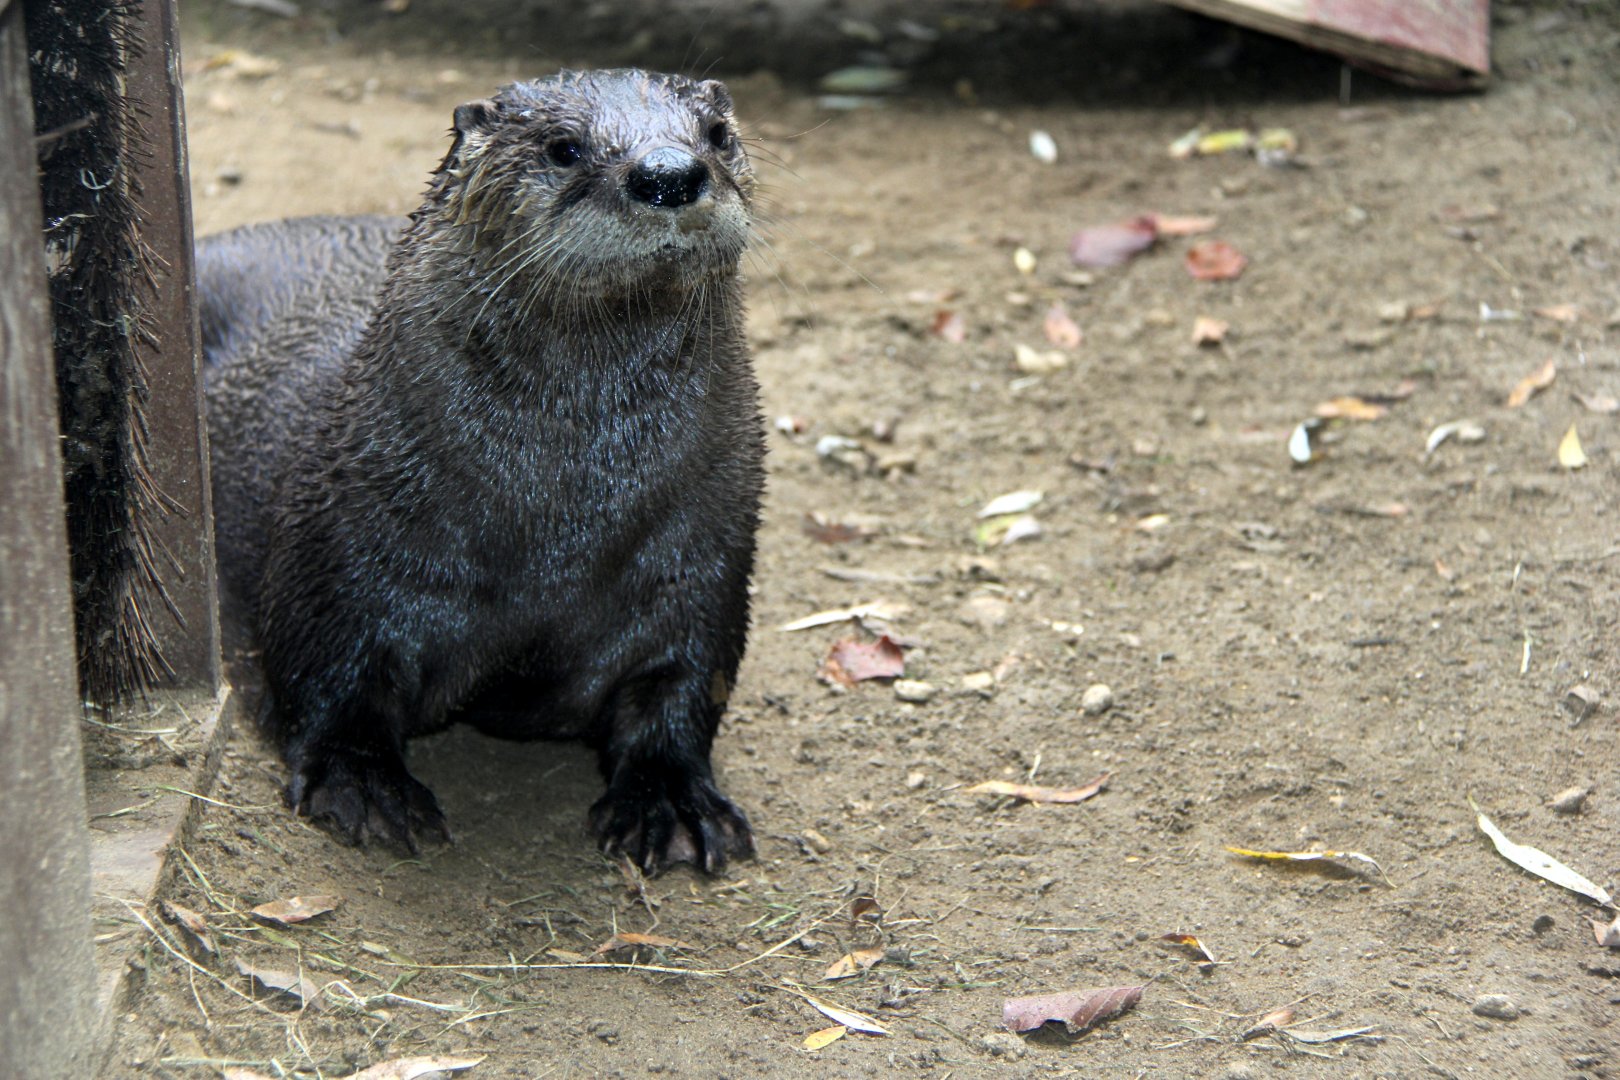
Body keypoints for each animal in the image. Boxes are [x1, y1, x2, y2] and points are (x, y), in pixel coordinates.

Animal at [198, 70, 763, 875]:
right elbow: (327, 668)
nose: (668, 173)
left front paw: (672, 801)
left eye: (717, 135)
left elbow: (683, 684)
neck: (559, 529)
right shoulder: (341, 539)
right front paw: (363, 783)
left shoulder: (704, 562)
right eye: (563, 147)